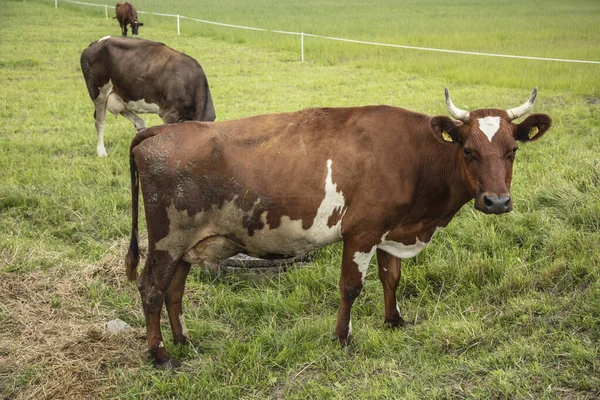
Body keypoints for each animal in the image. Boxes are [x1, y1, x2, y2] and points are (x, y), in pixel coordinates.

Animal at [79, 36, 216, 157]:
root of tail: (96, 43)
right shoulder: (169, 114)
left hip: (123, 95)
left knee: (136, 120)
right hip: (98, 93)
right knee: (99, 121)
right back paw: (101, 152)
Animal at [124, 88, 552, 368]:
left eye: (513, 150)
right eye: (468, 150)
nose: (497, 202)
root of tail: (163, 130)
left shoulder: (391, 231)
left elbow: (391, 277)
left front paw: (394, 321)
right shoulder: (362, 232)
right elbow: (351, 286)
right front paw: (343, 337)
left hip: (188, 244)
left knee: (174, 292)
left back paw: (184, 340)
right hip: (166, 240)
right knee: (151, 289)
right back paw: (159, 353)